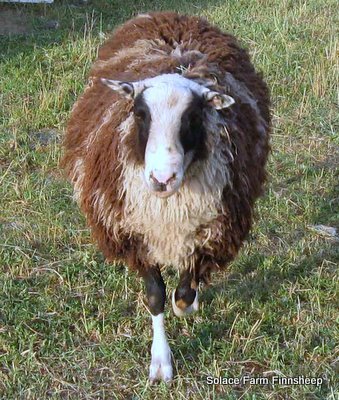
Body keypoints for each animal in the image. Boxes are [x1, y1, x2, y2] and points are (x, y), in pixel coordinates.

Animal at [62, 10, 272, 382]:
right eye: (140, 114)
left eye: (193, 117)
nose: (162, 179)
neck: (168, 206)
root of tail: (172, 16)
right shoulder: (135, 233)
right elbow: (155, 296)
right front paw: (161, 362)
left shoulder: (208, 230)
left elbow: (184, 292)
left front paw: (187, 304)